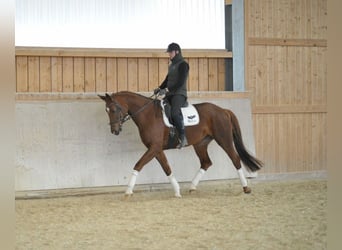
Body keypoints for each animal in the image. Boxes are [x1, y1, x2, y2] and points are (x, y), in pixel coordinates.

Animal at [97, 91, 264, 197]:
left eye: (114, 109)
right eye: (106, 110)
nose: (115, 130)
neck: (148, 115)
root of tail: (223, 110)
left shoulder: (154, 148)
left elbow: (138, 165)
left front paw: (128, 191)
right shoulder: (156, 149)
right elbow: (167, 168)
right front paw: (177, 191)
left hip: (224, 140)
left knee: (235, 159)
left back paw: (246, 188)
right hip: (200, 144)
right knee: (206, 162)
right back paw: (192, 187)